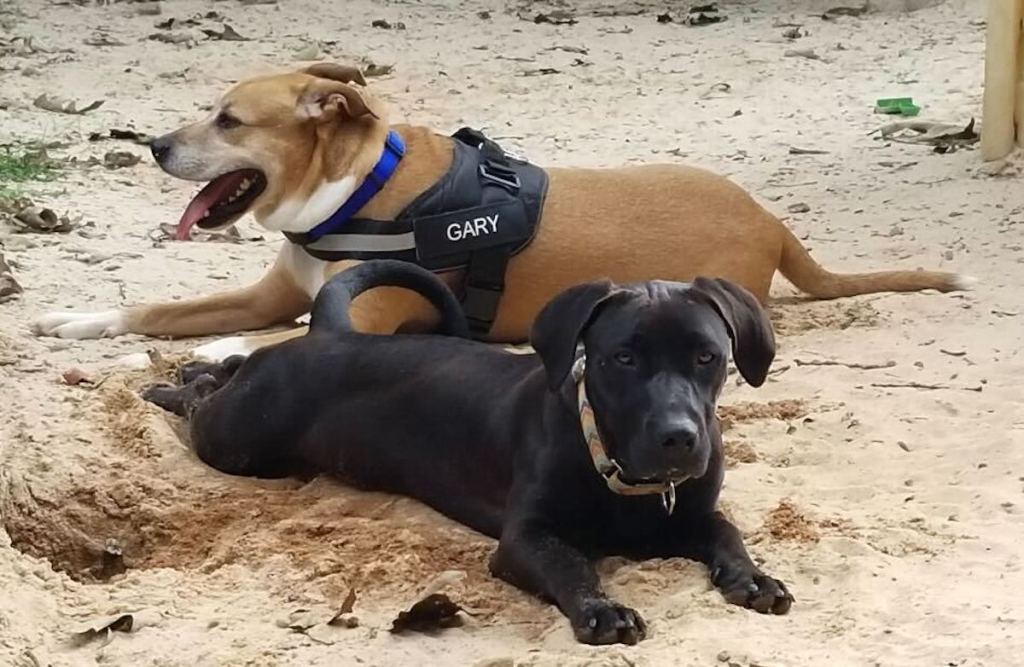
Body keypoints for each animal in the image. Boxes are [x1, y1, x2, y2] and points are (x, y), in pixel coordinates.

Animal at [34, 64, 966, 360]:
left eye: (229, 121)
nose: (153, 144)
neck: (358, 186)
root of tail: (774, 222)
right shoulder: (274, 292)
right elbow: (152, 307)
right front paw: (75, 319)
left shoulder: (351, 317)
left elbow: (263, 341)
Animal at [144, 258, 794, 643]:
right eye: (623, 358)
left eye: (707, 356)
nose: (678, 436)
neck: (617, 473)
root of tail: (332, 332)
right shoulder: (525, 539)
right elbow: (571, 564)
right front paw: (602, 610)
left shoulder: (690, 515)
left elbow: (727, 532)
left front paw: (754, 577)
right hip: (238, 437)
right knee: (210, 399)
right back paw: (170, 385)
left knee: (232, 364)